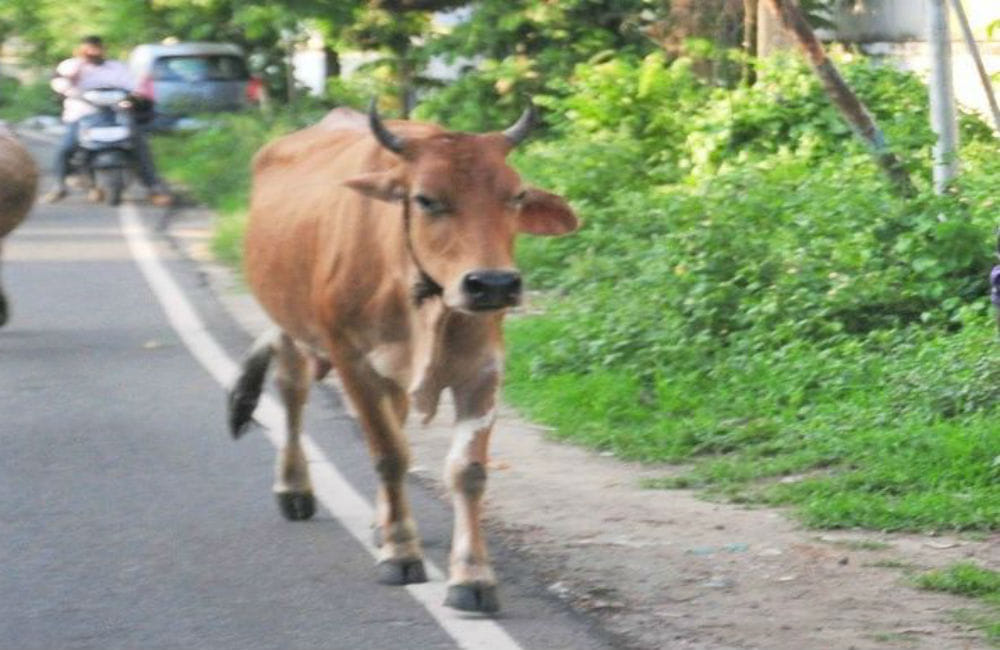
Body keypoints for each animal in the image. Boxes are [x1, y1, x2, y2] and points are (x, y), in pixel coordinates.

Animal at [228, 100, 579, 613]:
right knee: (292, 394)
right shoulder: (352, 360)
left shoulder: (484, 368)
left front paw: (472, 577)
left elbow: (468, 471)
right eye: (427, 199)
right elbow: (389, 454)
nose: (493, 284)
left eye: (515, 195)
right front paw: (400, 553)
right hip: (293, 329)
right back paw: (294, 487)